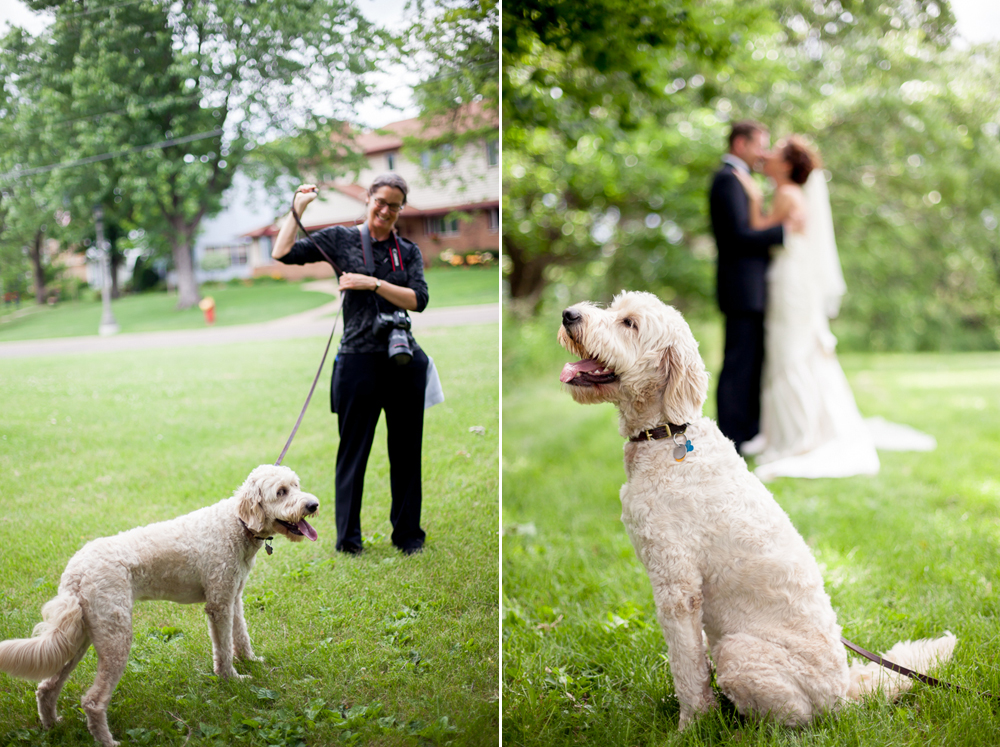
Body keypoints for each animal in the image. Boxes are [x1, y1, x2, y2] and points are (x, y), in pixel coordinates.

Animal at [0, 464, 318, 744]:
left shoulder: (233, 598)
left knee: (46, 687)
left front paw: (250, 662)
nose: (313, 505)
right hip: (116, 638)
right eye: (281, 492)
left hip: (79, 636)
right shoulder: (218, 605)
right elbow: (224, 648)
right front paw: (231, 679)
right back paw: (108, 741)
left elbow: (241, 636)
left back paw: (52, 727)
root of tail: (75, 571)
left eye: (297, 485)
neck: (236, 524)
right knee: (91, 700)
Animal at [560, 290, 956, 732]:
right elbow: (692, 663)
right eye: (615, 309)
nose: (569, 314)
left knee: (793, 717)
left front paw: (691, 726)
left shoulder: (677, 586)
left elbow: (687, 667)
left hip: (741, 653)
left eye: (629, 323)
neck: (667, 435)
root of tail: (844, 692)